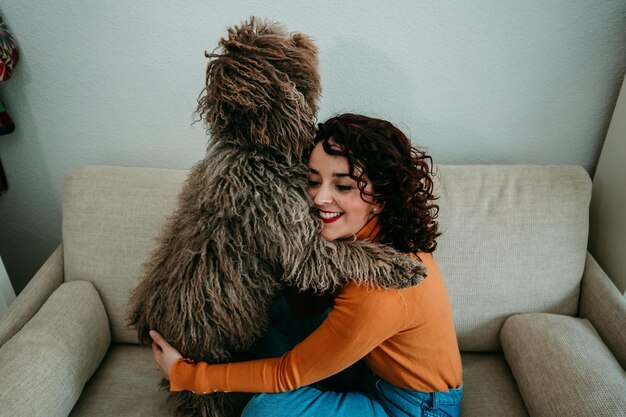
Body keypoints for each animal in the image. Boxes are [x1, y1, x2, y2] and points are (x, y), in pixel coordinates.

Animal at [129, 17, 426, 416]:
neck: (254, 146)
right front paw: (402, 266)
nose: (302, 38)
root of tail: (147, 322)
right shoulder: (299, 241)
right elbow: (353, 252)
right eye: (282, 47)